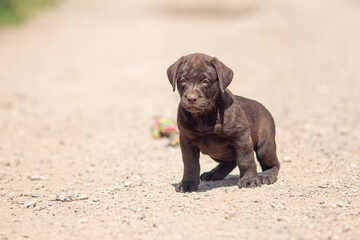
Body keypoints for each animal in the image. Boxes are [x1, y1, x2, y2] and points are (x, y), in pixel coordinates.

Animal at [167, 53, 280, 193]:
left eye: (206, 81)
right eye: (183, 80)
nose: (191, 98)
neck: (205, 115)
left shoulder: (241, 135)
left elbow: (245, 159)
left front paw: (249, 180)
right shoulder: (187, 139)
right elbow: (190, 164)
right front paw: (187, 183)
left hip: (265, 145)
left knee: (272, 162)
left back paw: (266, 175)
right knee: (230, 160)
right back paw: (214, 173)